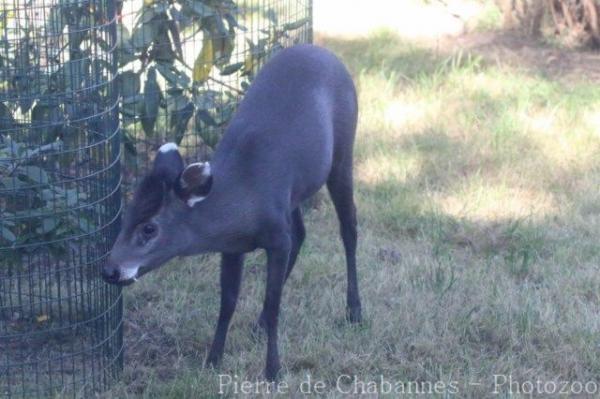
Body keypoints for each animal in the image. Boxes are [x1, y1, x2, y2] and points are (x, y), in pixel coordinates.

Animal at [104, 44, 360, 382]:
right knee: (302, 233)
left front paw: (273, 370)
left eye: (149, 228)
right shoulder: (232, 246)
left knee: (349, 228)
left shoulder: (275, 237)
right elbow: (228, 301)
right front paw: (213, 360)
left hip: (343, 151)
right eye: (127, 216)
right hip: (295, 194)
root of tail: (326, 53)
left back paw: (354, 312)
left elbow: (273, 301)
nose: (109, 270)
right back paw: (259, 324)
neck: (242, 194)